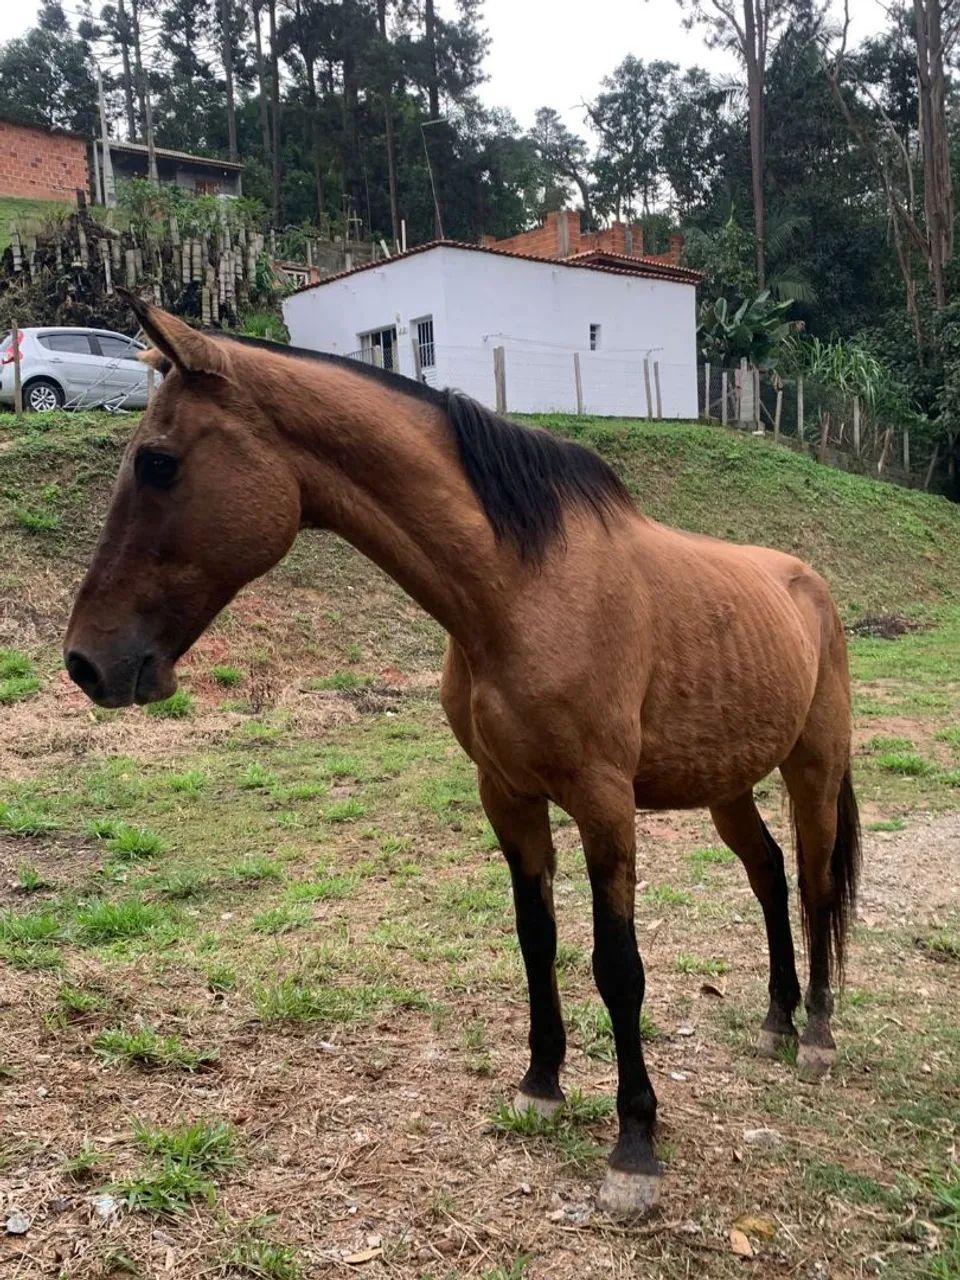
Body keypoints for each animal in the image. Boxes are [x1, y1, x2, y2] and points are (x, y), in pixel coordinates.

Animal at [64, 299, 861, 1218]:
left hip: (813, 766)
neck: (520, 590)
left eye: (157, 463)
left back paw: (817, 1033)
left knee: (815, 882)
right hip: (726, 783)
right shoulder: (507, 796)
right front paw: (541, 1084)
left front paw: (634, 1146)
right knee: (768, 874)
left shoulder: (603, 803)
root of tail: (807, 582)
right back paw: (775, 1018)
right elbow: (536, 940)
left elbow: (618, 967)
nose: (86, 662)